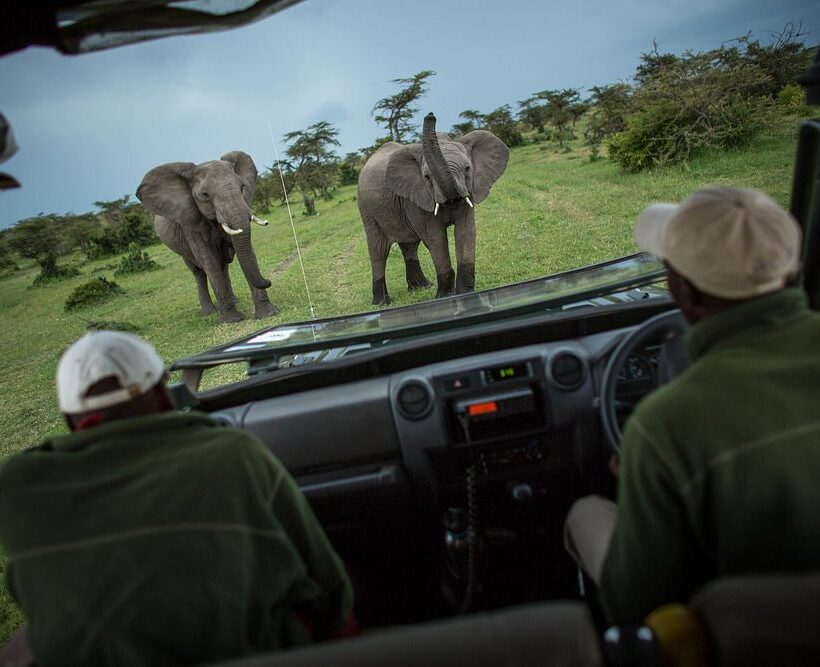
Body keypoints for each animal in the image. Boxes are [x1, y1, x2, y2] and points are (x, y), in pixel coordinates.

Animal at [135, 151, 276, 324]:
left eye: (242, 187)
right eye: (204, 195)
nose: (268, 281)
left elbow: (246, 251)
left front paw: (268, 313)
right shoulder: (189, 223)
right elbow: (209, 261)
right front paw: (232, 320)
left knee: (224, 265)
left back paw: (233, 300)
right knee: (198, 271)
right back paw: (208, 311)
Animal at [358, 113, 506, 306]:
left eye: (467, 169)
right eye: (427, 177)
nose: (430, 115)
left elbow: (466, 231)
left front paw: (466, 294)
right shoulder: (416, 198)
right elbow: (436, 238)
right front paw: (445, 296)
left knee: (409, 245)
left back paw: (421, 287)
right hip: (366, 209)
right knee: (379, 250)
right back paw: (382, 303)